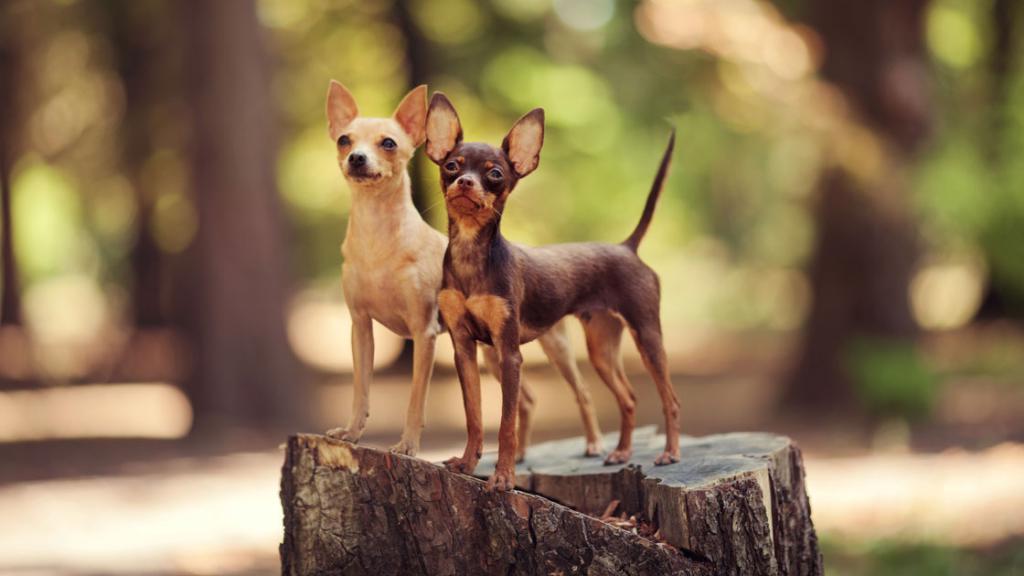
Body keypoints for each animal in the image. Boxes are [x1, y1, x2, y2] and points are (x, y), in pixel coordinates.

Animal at [323, 80, 602, 457]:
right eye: (344, 140)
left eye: (388, 143)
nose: (357, 158)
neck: (377, 239)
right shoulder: (361, 328)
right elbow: (360, 390)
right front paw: (352, 433)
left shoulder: (423, 333)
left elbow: (416, 398)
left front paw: (408, 445)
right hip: (492, 351)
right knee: (527, 398)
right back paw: (521, 454)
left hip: (551, 345)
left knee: (583, 392)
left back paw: (594, 443)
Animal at [423, 93, 679, 487]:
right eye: (452, 166)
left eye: (495, 174)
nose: (465, 182)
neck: (471, 254)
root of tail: (627, 247)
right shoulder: (464, 349)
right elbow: (474, 417)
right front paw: (466, 464)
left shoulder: (509, 354)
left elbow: (506, 424)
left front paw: (503, 477)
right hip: (601, 347)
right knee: (629, 397)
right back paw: (621, 452)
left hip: (647, 335)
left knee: (670, 399)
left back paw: (670, 453)